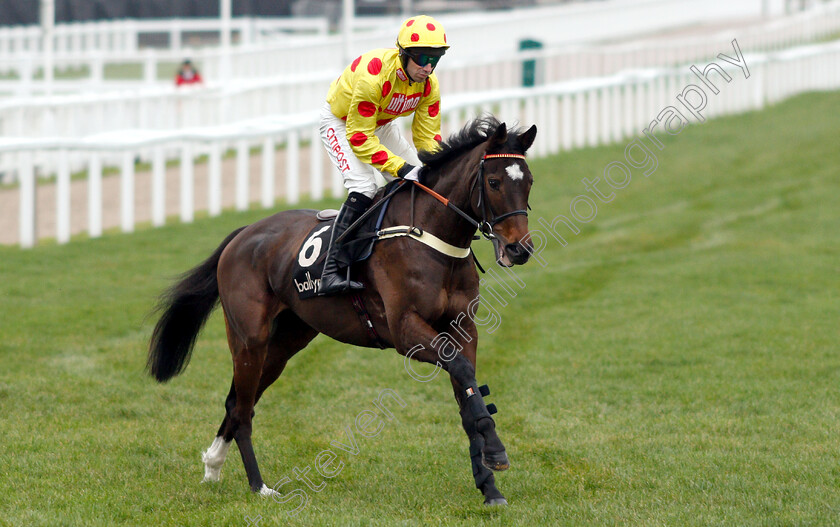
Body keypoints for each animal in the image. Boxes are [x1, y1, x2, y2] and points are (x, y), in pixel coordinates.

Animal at [147, 116, 536, 508]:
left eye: (529, 181)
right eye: (494, 182)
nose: (519, 249)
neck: (430, 237)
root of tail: (243, 234)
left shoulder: (463, 328)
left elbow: (467, 393)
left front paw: (489, 486)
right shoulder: (405, 331)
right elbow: (463, 374)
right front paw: (496, 452)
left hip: (286, 341)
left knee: (237, 401)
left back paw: (213, 466)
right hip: (248, 337)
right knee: (242, 410)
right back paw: (259, 486)